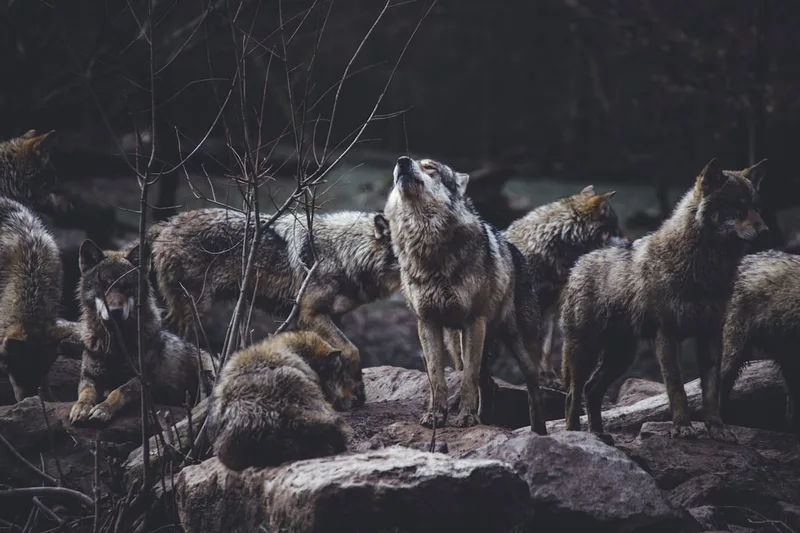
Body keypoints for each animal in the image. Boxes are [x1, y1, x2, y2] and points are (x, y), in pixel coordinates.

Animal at [69, 239, 217, 425]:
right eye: (104, 286)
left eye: (126, 287)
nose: (115, 311)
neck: (117, 345)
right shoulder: (88, 377)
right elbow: (86, 393)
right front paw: (81, 408)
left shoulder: (144, 380)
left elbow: (118, 391)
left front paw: (103, 409)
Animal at [145, 208, 400, 408]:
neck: (344, 252)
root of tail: (165, 224)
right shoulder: (311, 314)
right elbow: (352, 350)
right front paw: (356, 392)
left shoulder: (333, 316)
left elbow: (339, 356)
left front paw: (349, 394)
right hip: (195, 310)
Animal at [384, 155, 545, 433]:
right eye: (402, 164)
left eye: (430, 167)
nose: (402, 161)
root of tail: (516, 251)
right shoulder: (427, 323)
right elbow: (436, 378)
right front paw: (436, 416)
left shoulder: (473, 322)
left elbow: (468, 379)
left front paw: (467, 418)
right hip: (458, 345)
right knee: (488, 383)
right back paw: (486, 419)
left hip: (520, 348)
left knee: (532, 389)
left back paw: (538, 432)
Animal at [503, 185, 627, 388]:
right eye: (615, 229)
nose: (630, 242)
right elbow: (536, 348)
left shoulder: (553, 305)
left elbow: (546, 347)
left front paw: (550, 378)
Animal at [560, 158, 768, 443]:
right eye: (737, 207)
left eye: (756, 207)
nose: (765, 230)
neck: (704, 267)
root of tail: (579, 263)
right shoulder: (667, 335)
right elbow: (676, 388)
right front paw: (682, 428)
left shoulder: (710, 335)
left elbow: (711, 392)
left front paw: (717, 429)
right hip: (586, 351)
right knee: (574, 392)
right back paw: (575, 434)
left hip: (621, 357)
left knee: (592, 389)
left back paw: (599, 434)